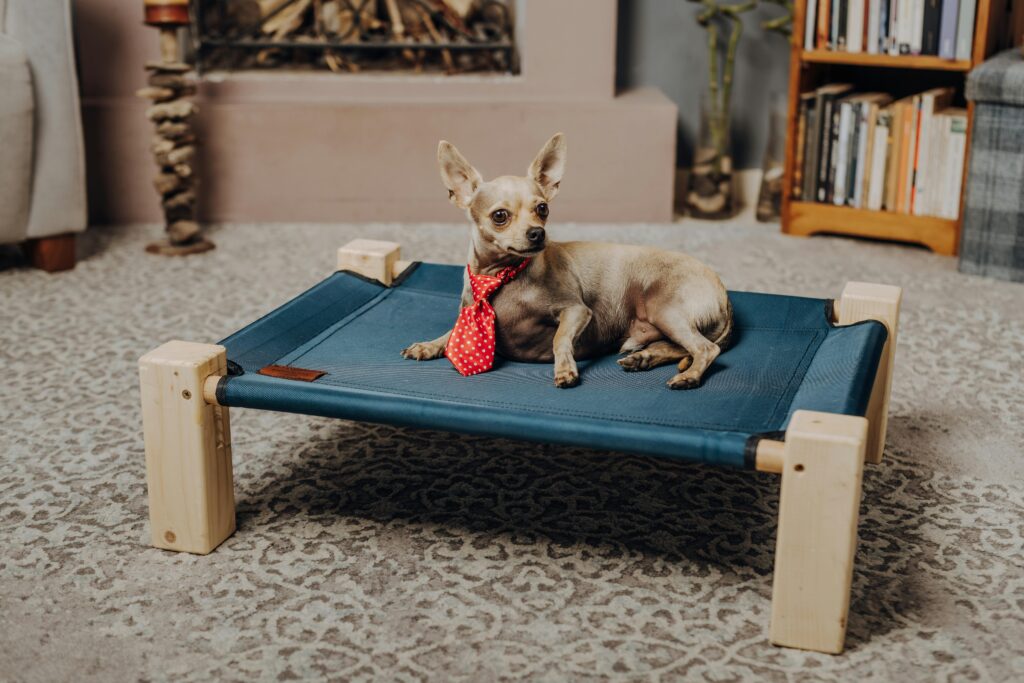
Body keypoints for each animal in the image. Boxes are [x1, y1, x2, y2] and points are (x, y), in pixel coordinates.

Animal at [401, 133, 737, 389]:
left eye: (542, 209)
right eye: (500, 216)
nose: (537, 233)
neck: (500, 276)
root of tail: (723, 291)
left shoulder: (576, 311)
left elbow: (559, 337)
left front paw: (564, 368)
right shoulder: (467, 315)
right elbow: (451, 335)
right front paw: (429, 345)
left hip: (664, 309)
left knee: (706, 348)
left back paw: (689, 376)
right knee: (679, 347)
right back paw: (645, 358)